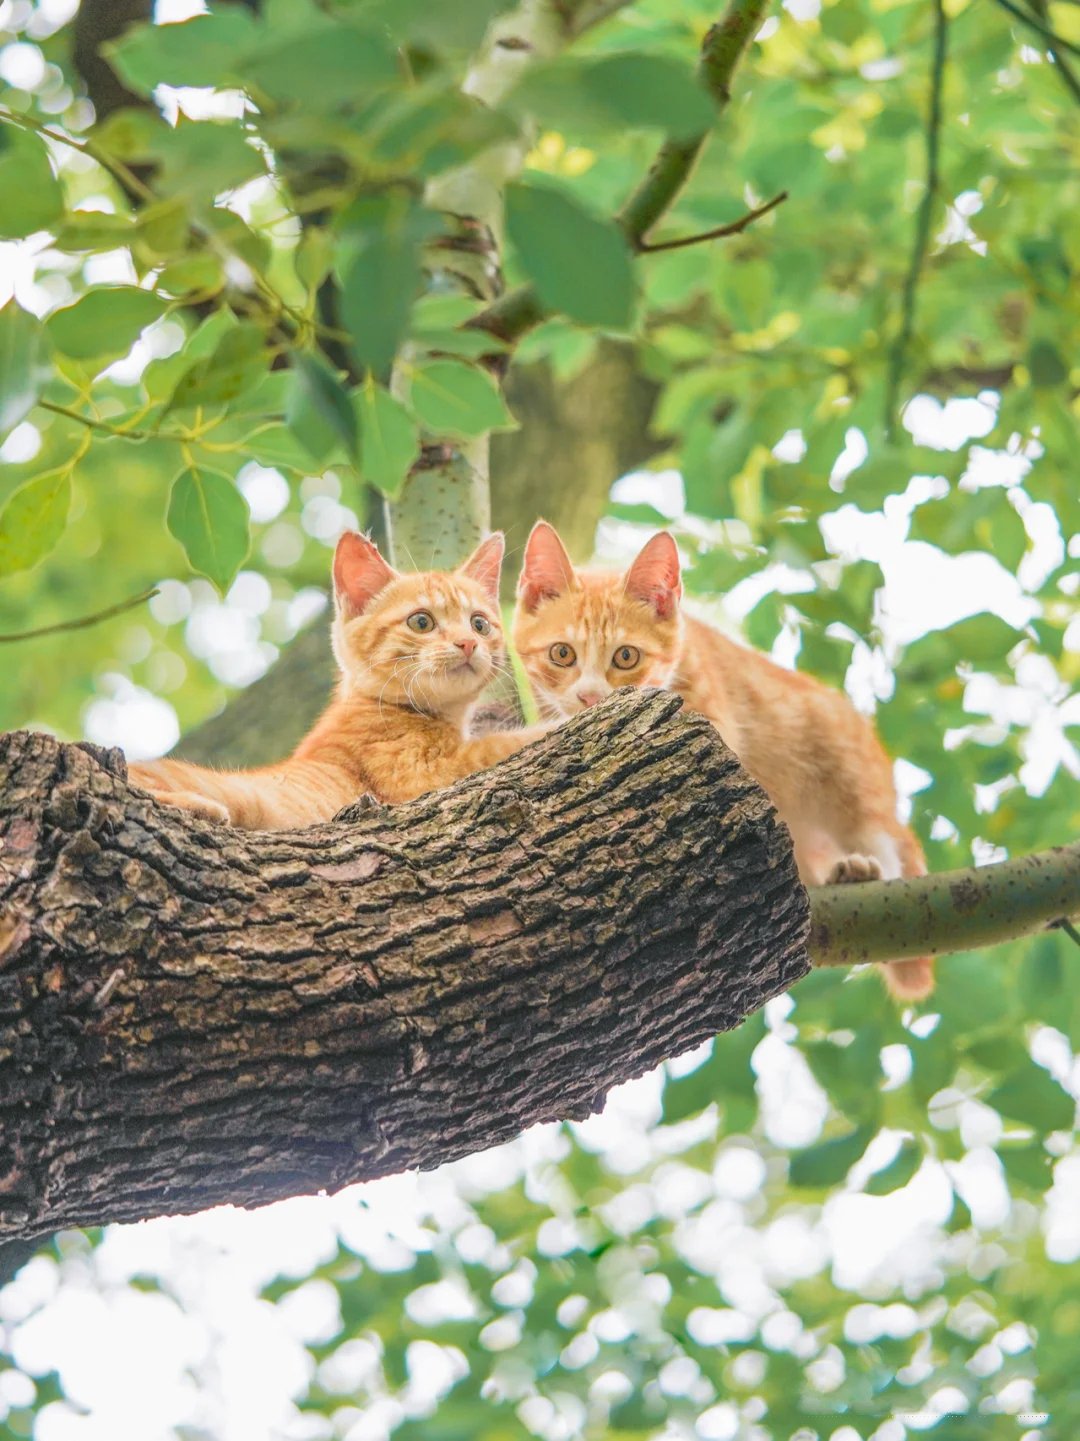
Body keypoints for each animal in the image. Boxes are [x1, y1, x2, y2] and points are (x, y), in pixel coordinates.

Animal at [513, 521, 934, 1002]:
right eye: (562, 653)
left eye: (626, 656)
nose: (589, 697)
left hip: (842, 762)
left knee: (878, 831)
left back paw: (860, 869)